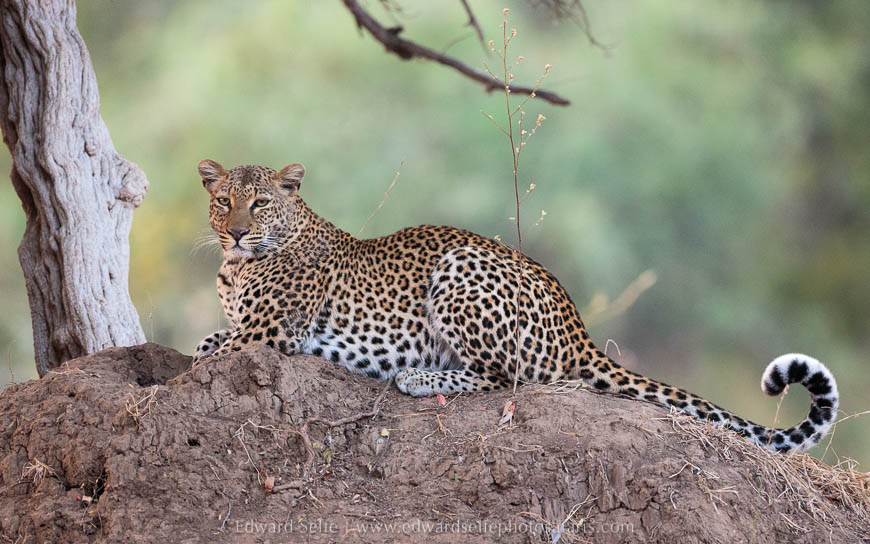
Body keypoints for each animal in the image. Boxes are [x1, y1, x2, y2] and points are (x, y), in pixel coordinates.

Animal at [192, 159, 840, 454]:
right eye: (223, 201)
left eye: (261, 204)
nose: (237, 233)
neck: (235, 267)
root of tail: (578, 329)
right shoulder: (247, 326)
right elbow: (207, 341)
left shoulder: (271, 332)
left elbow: (215, 350)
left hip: (460, 272)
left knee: (505, 377)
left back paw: (418, 377)